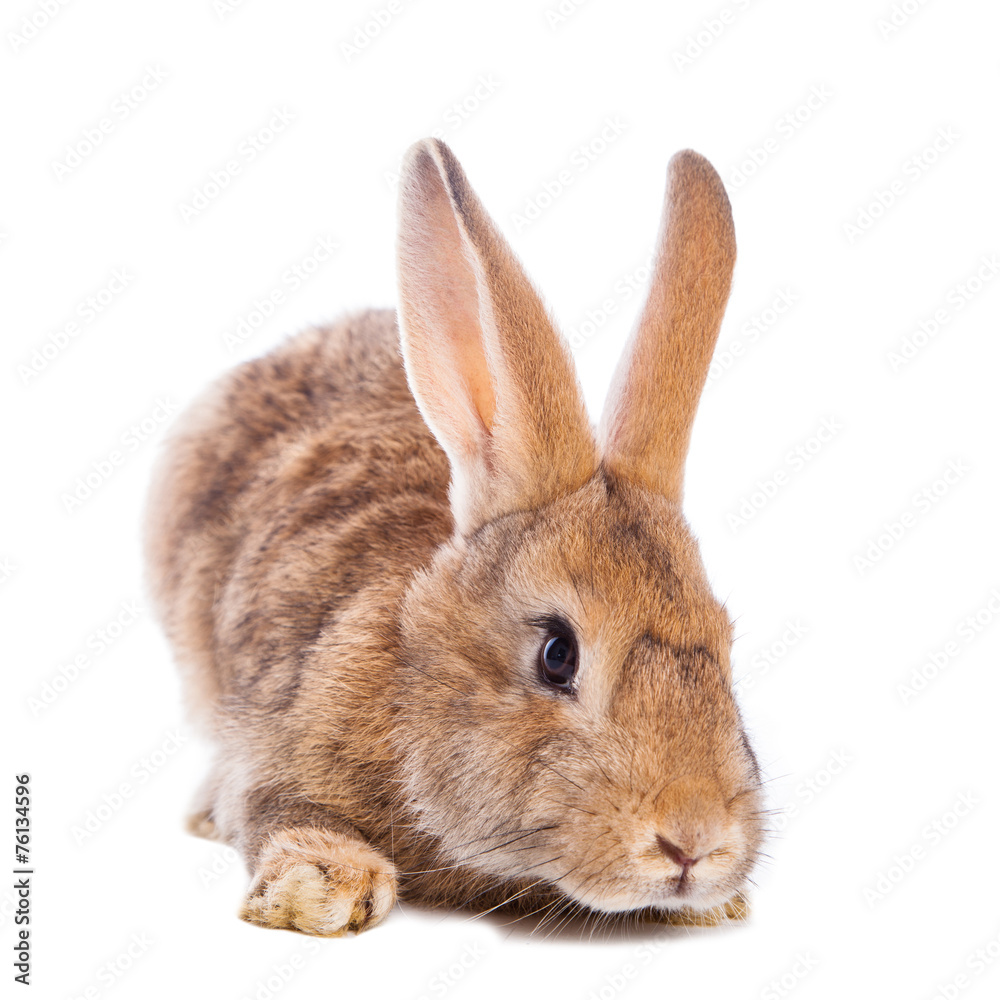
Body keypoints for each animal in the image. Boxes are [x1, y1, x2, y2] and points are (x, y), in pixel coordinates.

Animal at [144, 137, 765, 937]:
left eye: (725, 648)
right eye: (557, 655)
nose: (693, 839)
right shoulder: (275, 752)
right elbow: (274, 811)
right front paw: (320, 887)